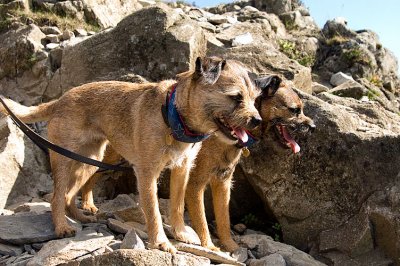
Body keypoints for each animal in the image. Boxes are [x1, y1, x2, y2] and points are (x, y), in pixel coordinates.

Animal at [0, 56, 260, 254]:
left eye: (254, 98)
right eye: (236, 97)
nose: (257, 120)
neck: (173, 116)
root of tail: (59, 100)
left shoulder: (182, 169)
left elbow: (176, 206)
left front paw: (181, 233)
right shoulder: (147, 174)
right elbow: (154, 211)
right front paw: (161, 242)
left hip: (90, 161)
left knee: (68, 195)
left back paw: (81, 218)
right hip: (64, 160)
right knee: (56, 197)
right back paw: (62, 227)